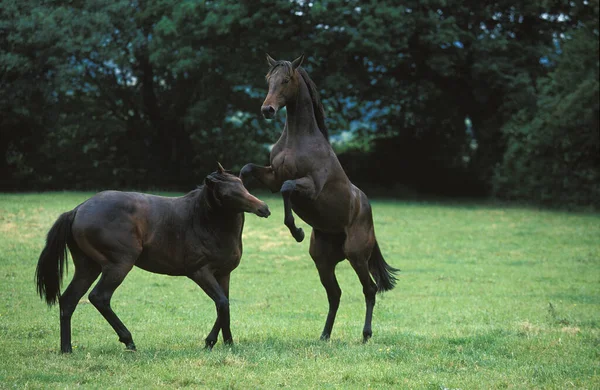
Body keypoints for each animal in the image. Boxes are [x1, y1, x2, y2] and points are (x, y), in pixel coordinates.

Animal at [36, 163, 270, 352]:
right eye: (227, 194)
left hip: (88, 267)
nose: (264, 208)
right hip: (118, 265)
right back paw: (128, 341)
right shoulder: (200, 272)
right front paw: (210, 342)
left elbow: (225, 305)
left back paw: (67, 349)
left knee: (68, 300)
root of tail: (77, 210)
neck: (203, 220)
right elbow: (221, 302)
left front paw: (228, 342)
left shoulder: (223, 274)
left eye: (242, 185)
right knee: (99, 297)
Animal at [239, 54, 398, 342]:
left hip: (357, 256)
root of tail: (366, 210)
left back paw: (366, 334)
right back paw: (324, 335)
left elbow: (288, 188)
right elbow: (248, 170)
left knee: (369, 290)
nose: (268, 110)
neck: (298, 140)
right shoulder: (272, 176)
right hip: (323, 261)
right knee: (335, 295)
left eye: (286, 80)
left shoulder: (310, 187)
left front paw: (297, 231)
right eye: (268, 80)